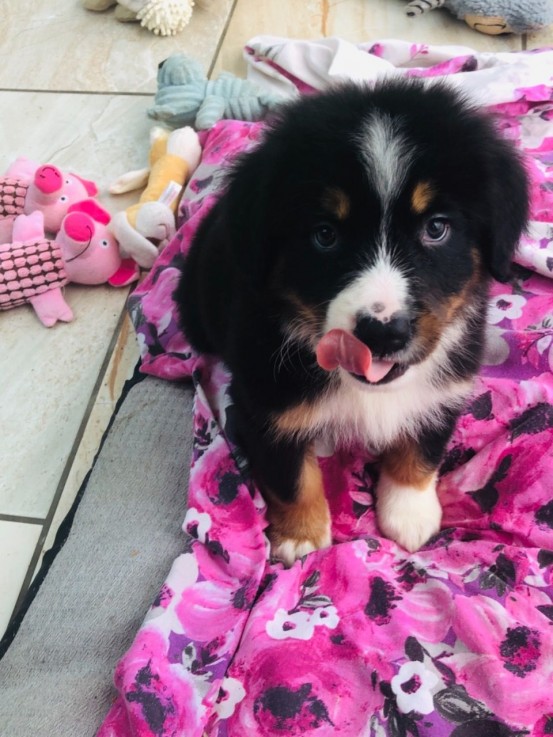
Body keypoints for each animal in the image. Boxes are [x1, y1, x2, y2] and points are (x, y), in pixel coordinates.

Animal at [177, 79, 532, 564]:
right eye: (325, 234)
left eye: (436, 228)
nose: (382, 332)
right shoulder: (265, 399)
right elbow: (290, 476)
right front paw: (301, 537)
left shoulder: (448, 384)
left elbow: (423, 447)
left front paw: (410, 513)